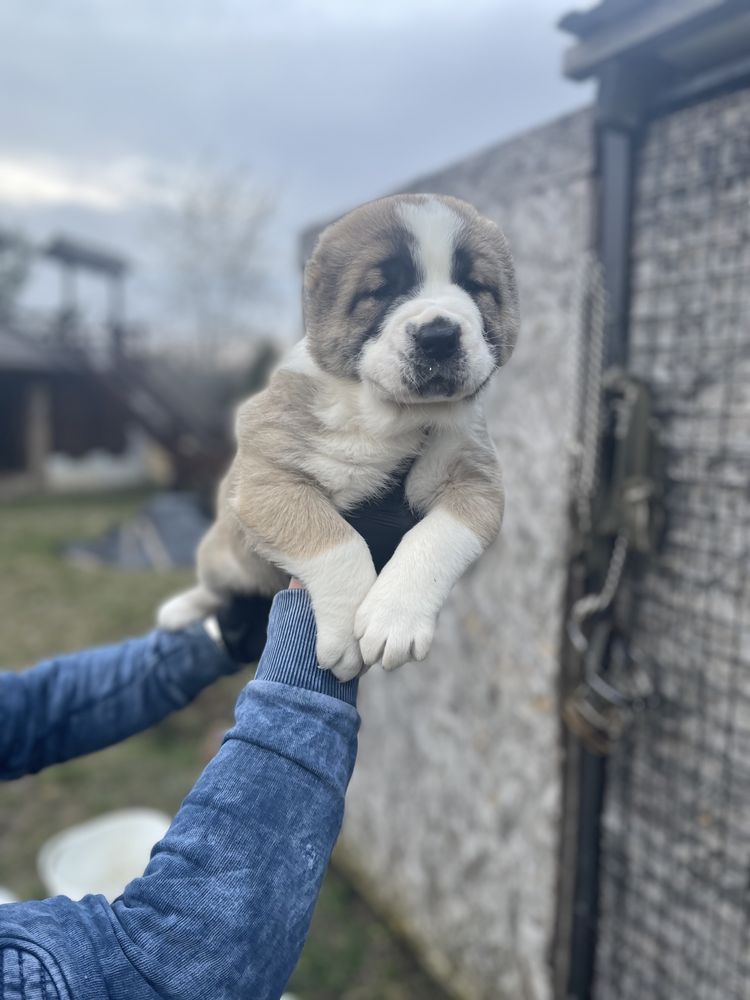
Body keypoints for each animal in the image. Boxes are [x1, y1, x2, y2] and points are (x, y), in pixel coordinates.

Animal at [160, 190, 516, 680]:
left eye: (474, 285)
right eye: (380, 291)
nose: (439, 335)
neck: (391, 417)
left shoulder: (477, 480)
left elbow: (438, 537)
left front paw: (395, 617)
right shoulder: (266, 480)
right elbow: (337, 542)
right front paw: (347, 630)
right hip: (220, 552)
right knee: (216, 589)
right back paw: (181, 608)